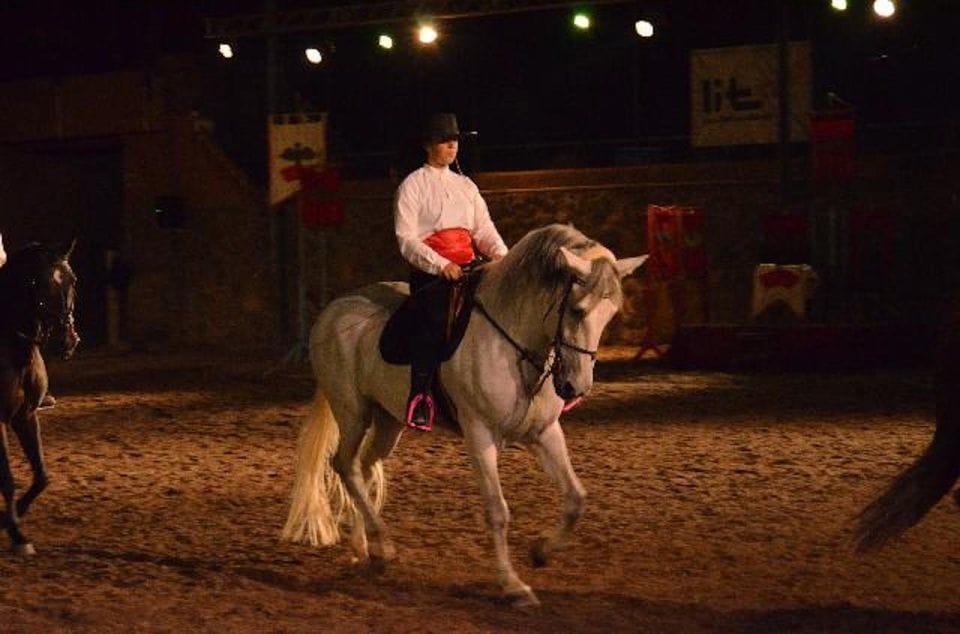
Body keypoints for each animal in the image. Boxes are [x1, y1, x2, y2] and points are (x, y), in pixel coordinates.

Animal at [0, 241, 80, 555]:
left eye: (73, 281)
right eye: (36, 283)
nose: (66, 342)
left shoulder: (26, 416)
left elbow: (42, 476)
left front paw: (12, 517)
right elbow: (8, 480)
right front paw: (17, 534)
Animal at [281, 224, 647, 606]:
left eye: (611, 314)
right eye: (576, 310)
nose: (576, 387)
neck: (514, 344)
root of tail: (333, 310)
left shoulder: (544, 432)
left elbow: (576, 499)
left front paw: (541, 551)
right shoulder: (480, 435)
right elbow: (497, 511)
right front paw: (513, 586)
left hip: (387, 419)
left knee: (364, 467)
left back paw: (367, 549)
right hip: (353, 411)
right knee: (345, 465)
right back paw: (382, 546)